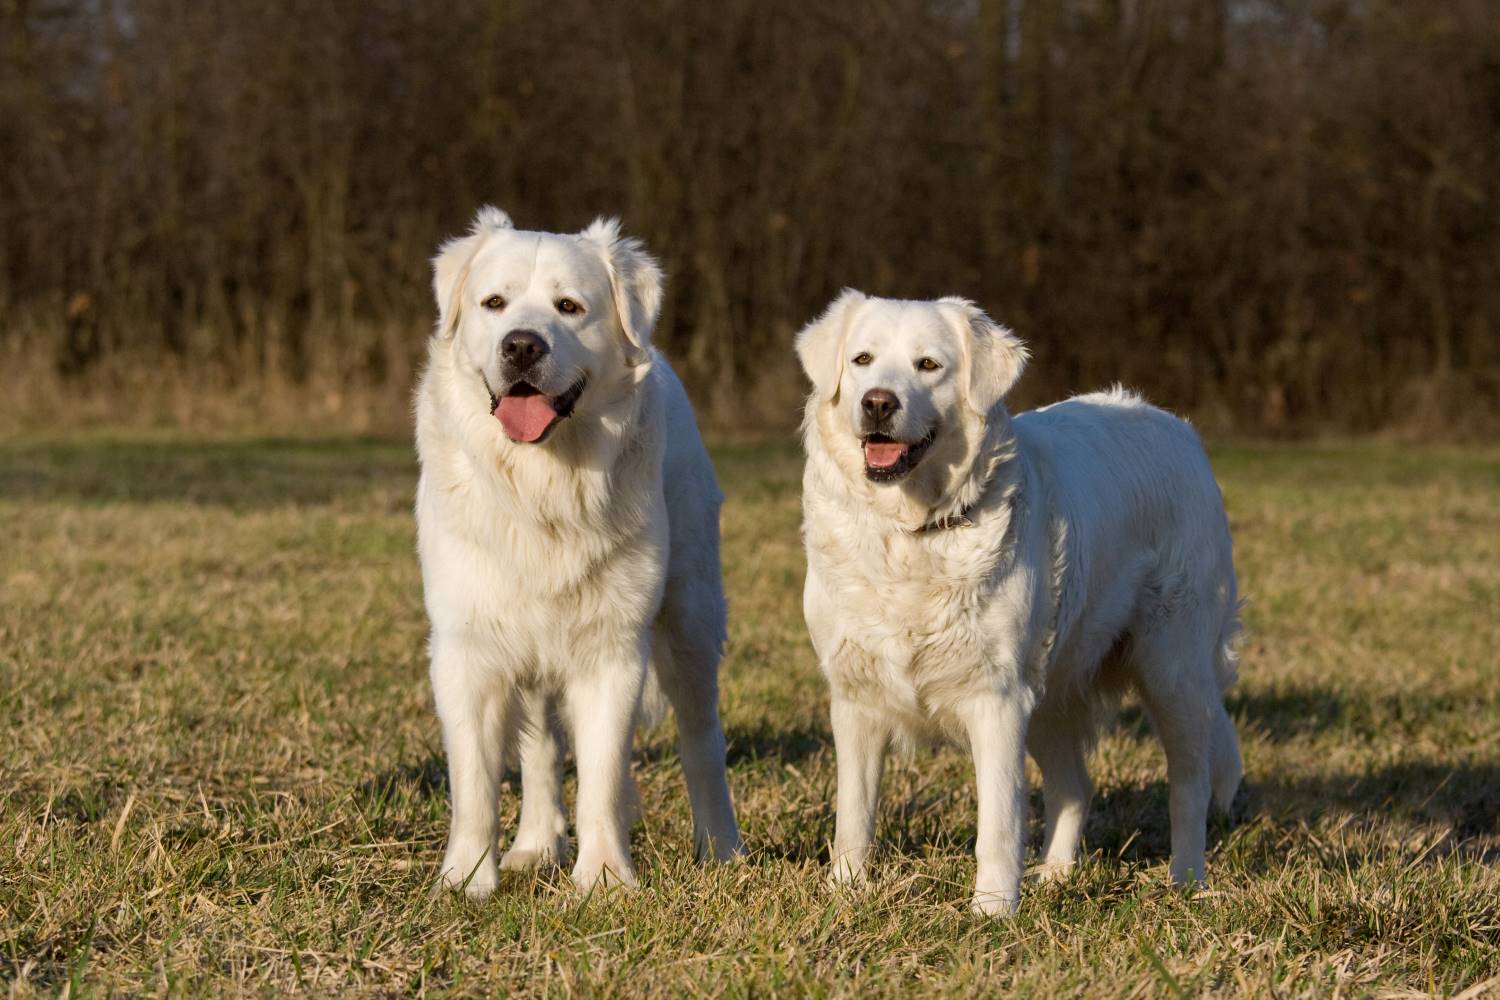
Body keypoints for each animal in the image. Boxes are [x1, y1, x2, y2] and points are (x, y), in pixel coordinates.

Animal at [414, 205, 741, 899]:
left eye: (569, 307)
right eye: (494, 303)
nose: (521, 345)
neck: (543, 484)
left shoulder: (612, 649)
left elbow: (601, 775)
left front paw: (606, 882)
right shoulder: (467, 648)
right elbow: (475, 783)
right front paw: (465, 881)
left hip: (691, 619)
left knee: (702, 741)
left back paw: (724, 849)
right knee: (540, 749)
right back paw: (536, 846)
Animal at [798, 289, 1242, 917]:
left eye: (928, 365)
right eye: (862, 359)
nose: (878, 403)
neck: (912, 533)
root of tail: (1177, 429)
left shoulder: (998, 700)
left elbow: (999, 823)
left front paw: (991, 912)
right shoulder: (856, 697)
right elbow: (854, 816)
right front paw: (845, 894)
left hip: (1171, 670)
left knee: (1190, 782)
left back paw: (1185, 881)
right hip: (1054, 689)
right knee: (1075, 786)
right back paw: (1056, 877)